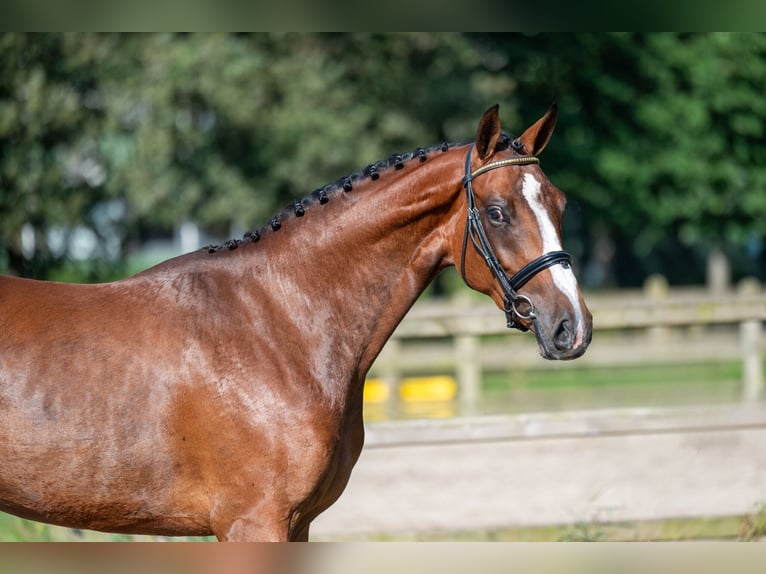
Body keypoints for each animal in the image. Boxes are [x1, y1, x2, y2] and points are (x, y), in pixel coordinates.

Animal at [0, 104, 592, 544]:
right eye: (497, 212)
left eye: (561, 204)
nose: (573, 327)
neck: (278, 324)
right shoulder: (253, 523)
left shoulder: (297, 524)